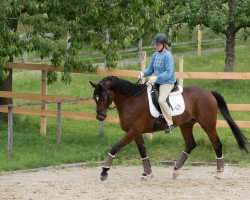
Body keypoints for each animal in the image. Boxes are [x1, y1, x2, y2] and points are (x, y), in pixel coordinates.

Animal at [89, 75, 248, 181]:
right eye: (94, 98)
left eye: (102, 97)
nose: (100, 117)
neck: (131, 100)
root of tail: (209, 92)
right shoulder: (136, 133)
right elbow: (143, 152)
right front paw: (147, 173)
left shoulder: (133, 131)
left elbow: (115, 147)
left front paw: (104, 171)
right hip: (186, 124)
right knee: (190, 144)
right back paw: (176, 170)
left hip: (208, 125)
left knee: (216, 144)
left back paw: (219, 172)